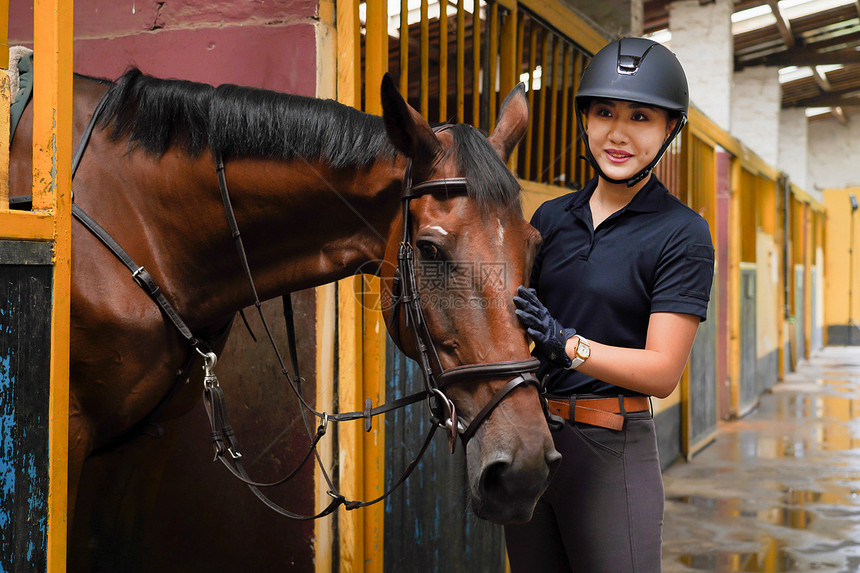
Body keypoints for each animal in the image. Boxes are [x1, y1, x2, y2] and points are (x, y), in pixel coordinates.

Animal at [10, 69, 560, 536]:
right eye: (428, 249)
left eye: (534, 245)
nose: (527, 469)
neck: (136, 220)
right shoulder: (70, 435)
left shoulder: (146, 443)